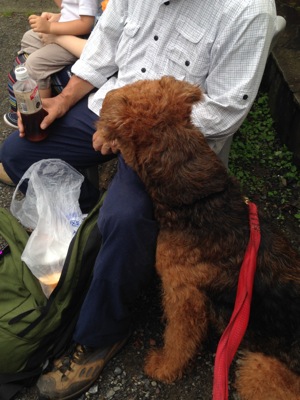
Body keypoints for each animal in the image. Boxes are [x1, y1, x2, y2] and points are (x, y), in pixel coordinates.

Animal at [96, 76, 300, 398]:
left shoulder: (183, 294)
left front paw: (162, 368)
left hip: (257, 369)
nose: (107, 95)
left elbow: (178, 339)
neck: (197, 198)